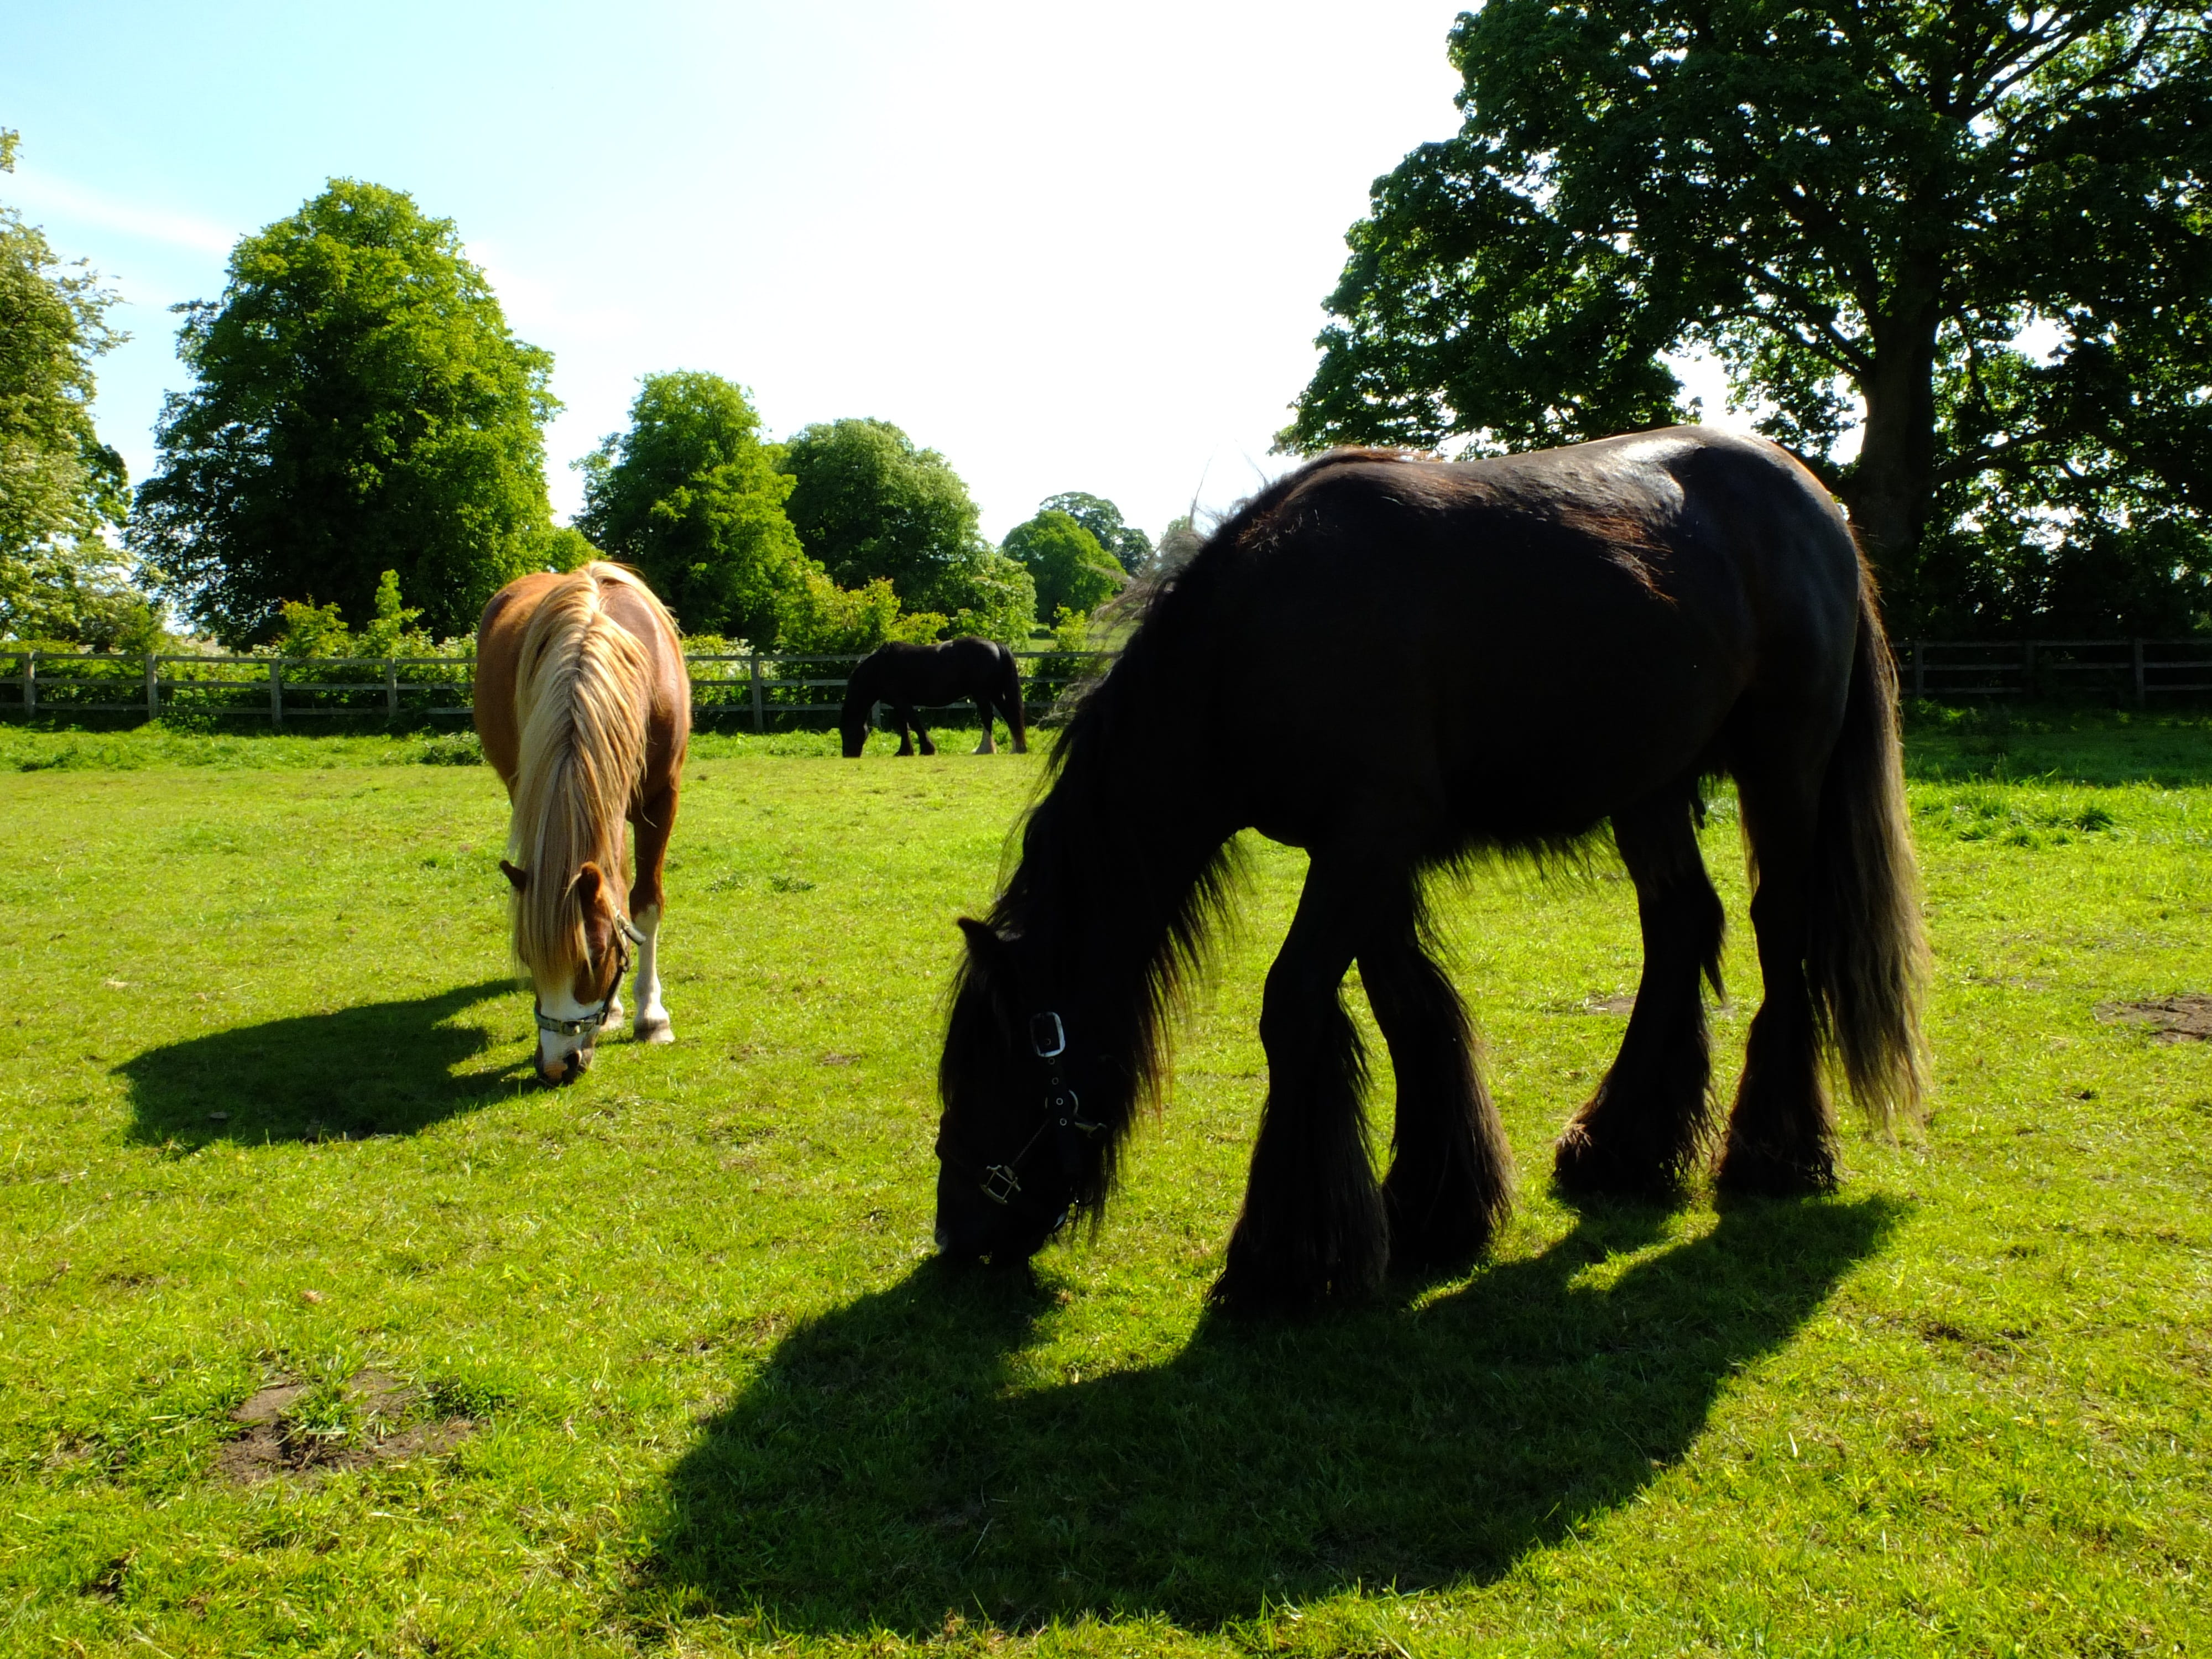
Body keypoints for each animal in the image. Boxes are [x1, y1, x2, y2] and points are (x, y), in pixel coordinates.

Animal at [474, 561, 690, 1085]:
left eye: (596, 958)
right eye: (527, 956)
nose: (557, 1066)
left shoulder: (661, 799)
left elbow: (644, 905)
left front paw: (651, 1017)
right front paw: (619, 1012)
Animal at [839, 637, 1029, 757]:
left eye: (847, 730)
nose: (848, 754)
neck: (879, 669)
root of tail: (995, 645)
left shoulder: (902, 703)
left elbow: (914, 724)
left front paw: (927, 749)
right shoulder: (898, 704)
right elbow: (904, 726)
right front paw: (904, 751)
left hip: (982, 694)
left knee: (989, 718)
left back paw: (984, 749)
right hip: (994, 693)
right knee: (1009, 715)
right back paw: (1017, 748)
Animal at [932, 428, 1928, 1315]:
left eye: (993, 1065)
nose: (954, 1238)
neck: (1256, 638)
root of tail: (1818, 506)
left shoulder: (1367, 838)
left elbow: (1296, 1005)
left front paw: (1288, 1262)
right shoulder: (1359, 852)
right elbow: (1406, 1006)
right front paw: (1434, 1208)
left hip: (1782, 765)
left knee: (1780, 927)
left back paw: (1776, 1153)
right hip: (1648, 787)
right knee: (1682, 923)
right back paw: (1623, 1149)